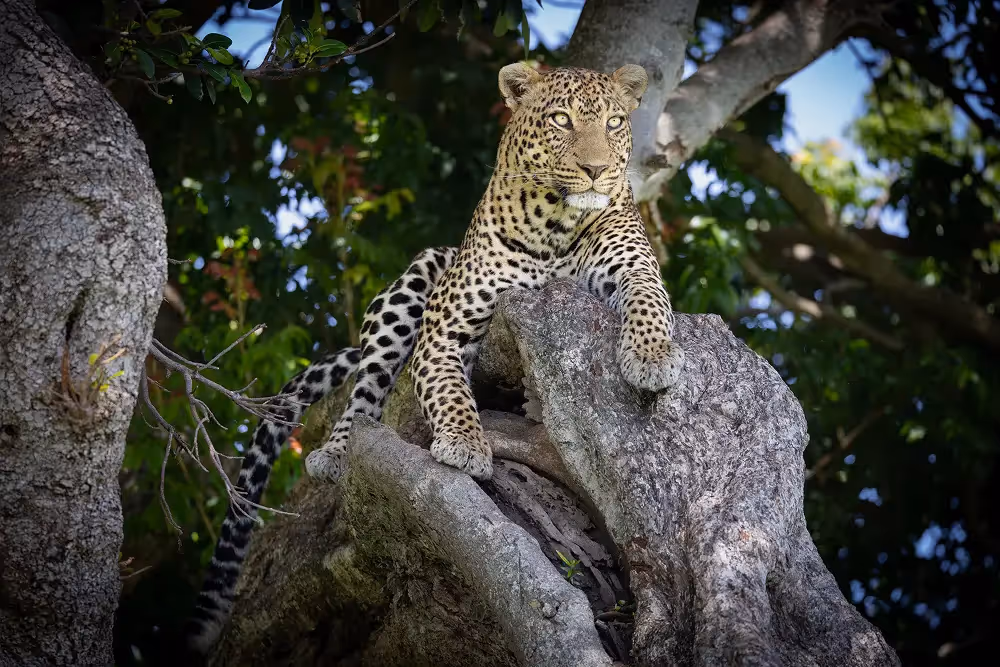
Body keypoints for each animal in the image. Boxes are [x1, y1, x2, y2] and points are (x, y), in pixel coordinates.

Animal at [186, 62, 683, 654]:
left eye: (613, 124)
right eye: (562, 120)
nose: (595, 170)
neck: (556, 227)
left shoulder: (633, 265)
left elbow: (650, 300)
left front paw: (652, 357)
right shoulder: (446, 328)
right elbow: (449, 391)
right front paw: (466, 446)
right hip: (415, 280)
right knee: (368, 384)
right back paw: (338, 449)